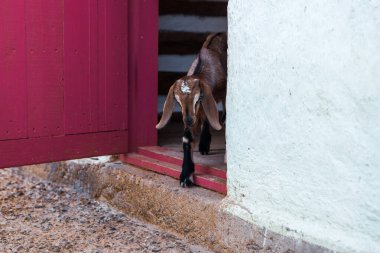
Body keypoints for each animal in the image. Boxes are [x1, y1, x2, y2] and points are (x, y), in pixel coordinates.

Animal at [157, 32, 227, 187]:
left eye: (199, 97)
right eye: (177, 101)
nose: (188, 120)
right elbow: (187, 138)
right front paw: (185, 176)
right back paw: (203, 145)